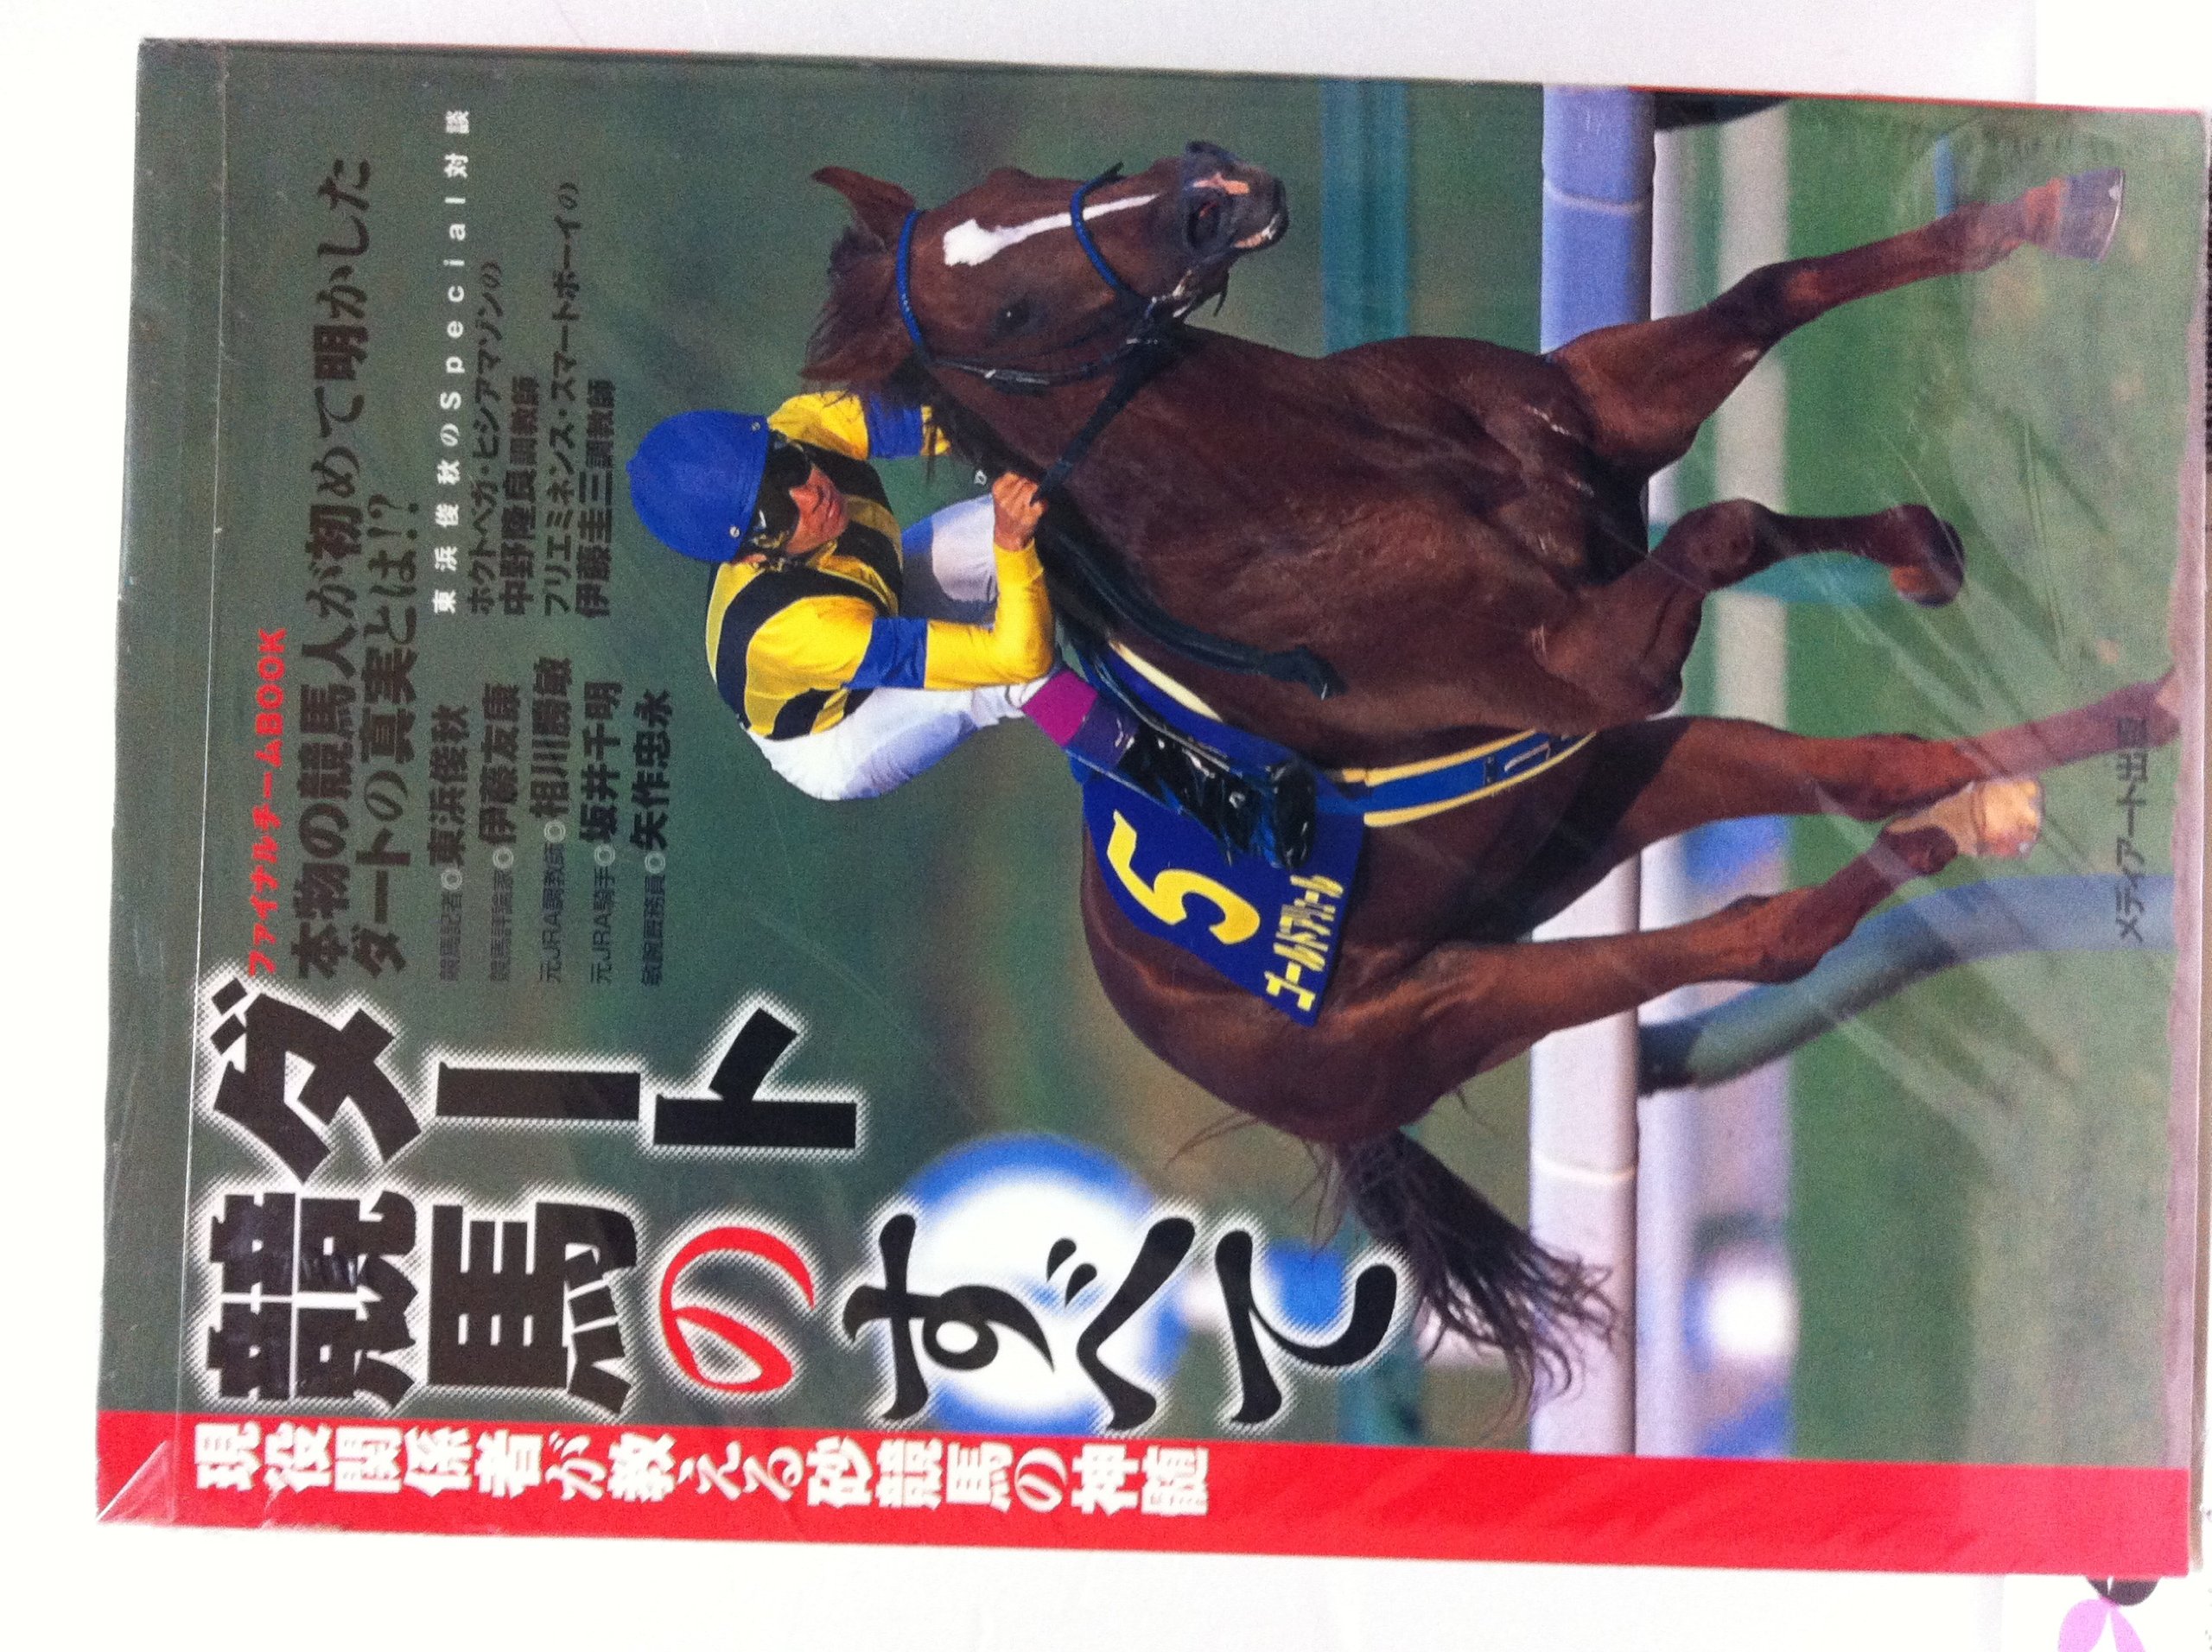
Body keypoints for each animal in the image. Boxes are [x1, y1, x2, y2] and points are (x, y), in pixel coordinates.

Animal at [797, 141, 2178, 1401]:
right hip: (1460, 1000)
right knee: (1761, 936)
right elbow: (1721, 526)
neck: (1316, 495)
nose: (1216, 194)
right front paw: (1905, 544)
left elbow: (1766, 301)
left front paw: (2063, 221)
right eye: (1009, 314)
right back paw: (1974, 817)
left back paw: (2096, 734)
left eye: (1017, 185)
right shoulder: (1607, 665)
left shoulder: (1598, 423)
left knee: (1877, 773)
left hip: (1595, 803)